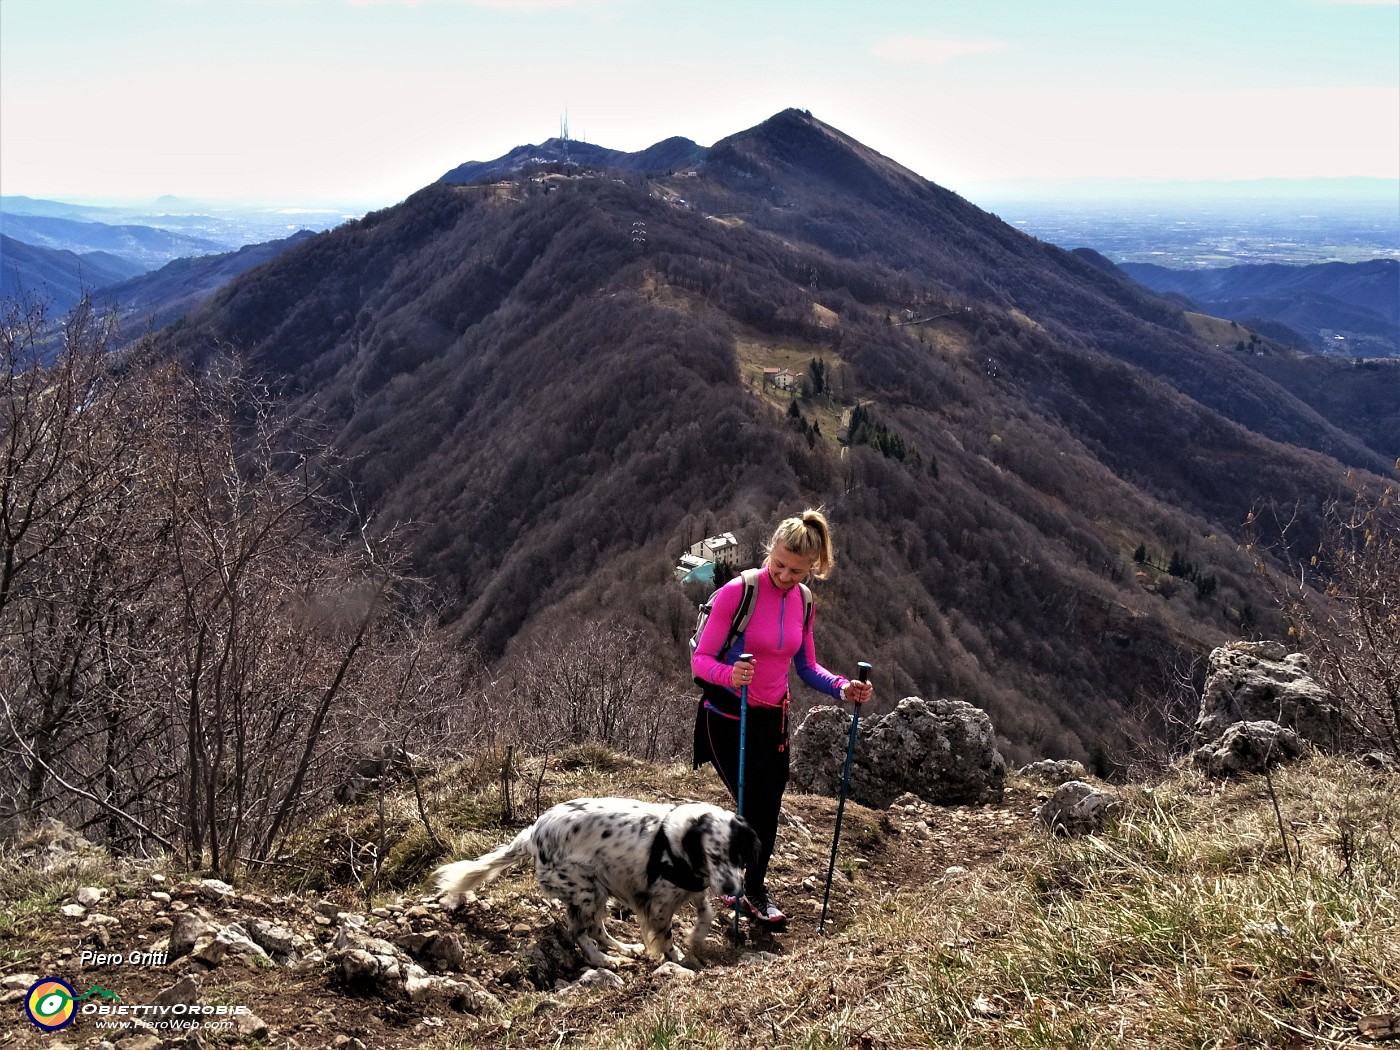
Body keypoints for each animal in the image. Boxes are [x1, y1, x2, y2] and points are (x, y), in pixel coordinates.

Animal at [436, 806, 767, 968]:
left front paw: (697, 937)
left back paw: (625, 949)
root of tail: (532, 834)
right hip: (586, 891)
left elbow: (705, 912)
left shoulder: (694, 887)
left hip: (598, 892)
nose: (732, 889)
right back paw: (603, 960)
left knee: (596, 930)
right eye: (713, 856)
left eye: (738, 856)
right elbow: (666, 937)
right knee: (579, 932)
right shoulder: (658, 904)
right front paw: (679, 958)